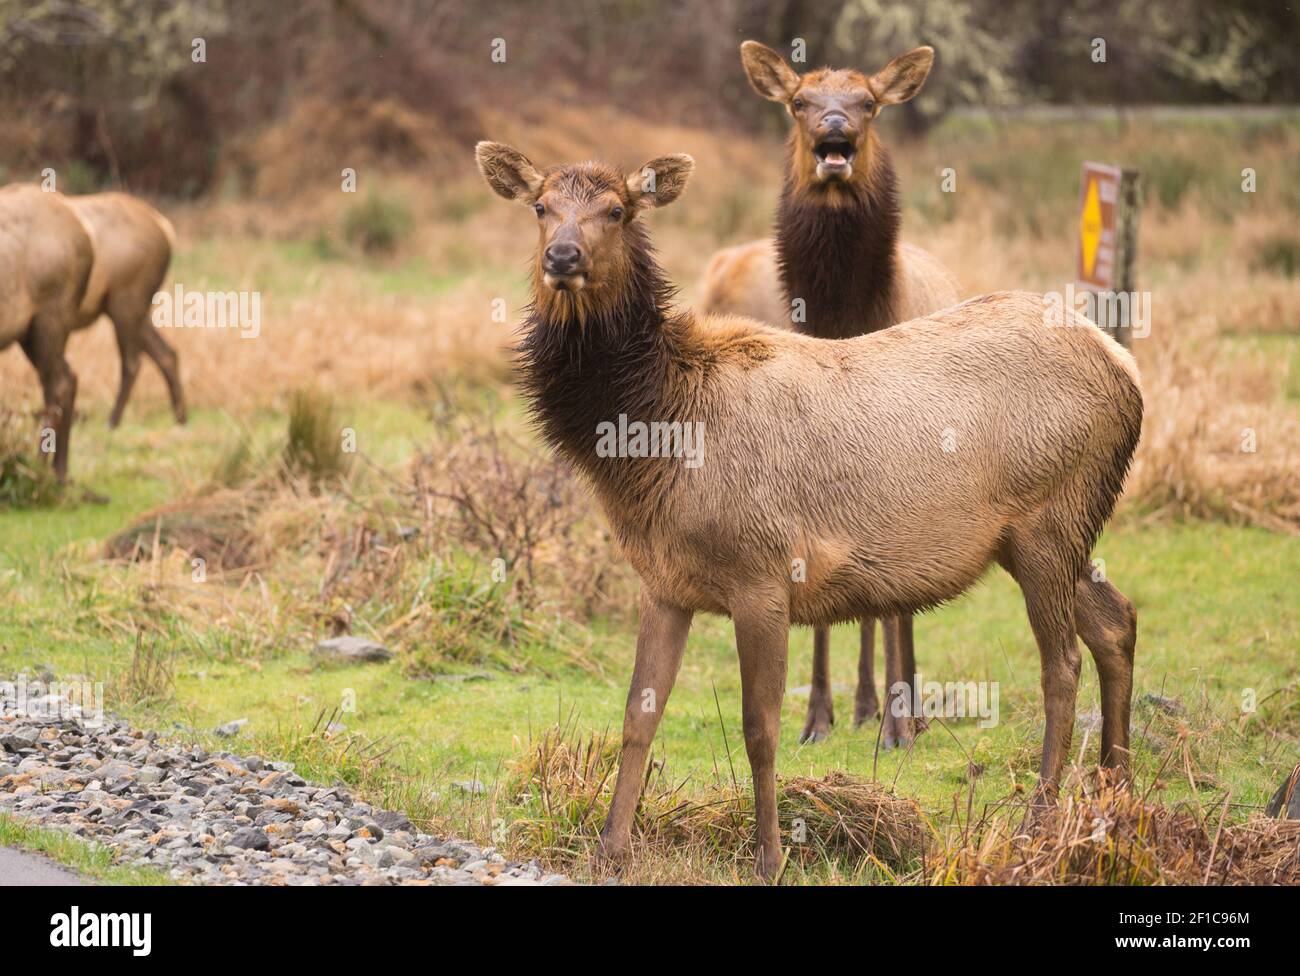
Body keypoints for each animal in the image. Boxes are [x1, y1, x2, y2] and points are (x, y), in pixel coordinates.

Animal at [0, 184, 94, 480]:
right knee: (69, 377)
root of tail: (86, 236)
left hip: (50, 318)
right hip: (28, 333)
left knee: (57, 384)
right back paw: (60, 472)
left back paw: (38, 470)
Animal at [68, 194, 187, 426]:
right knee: (167, 353)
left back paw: (112, 421)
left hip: (125, 301)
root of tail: (166, 229)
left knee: (132, 361)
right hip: (134, 309)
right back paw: (181, 418)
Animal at [475, 141, 1138, 883]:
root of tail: (1126, 367)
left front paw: (767, 854)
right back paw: (1116, 798)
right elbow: (638, 713)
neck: (657, 431)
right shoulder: (664, 582)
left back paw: (1038, 825)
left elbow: (760, 727)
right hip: (1058, 533)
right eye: (540, 207)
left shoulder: (761, 574)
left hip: (1048, 519)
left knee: (1062, 663)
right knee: (1116, 622)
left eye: (617, 210)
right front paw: (609, 847)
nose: (562, 257)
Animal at [702, 41, 967, 748]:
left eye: (868, 102)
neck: (847, 316)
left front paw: (900, 725)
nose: (835, 130)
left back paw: (904, 708)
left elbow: (900, 601)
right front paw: (818, 714)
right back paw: (865, 701)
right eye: (800, 101)